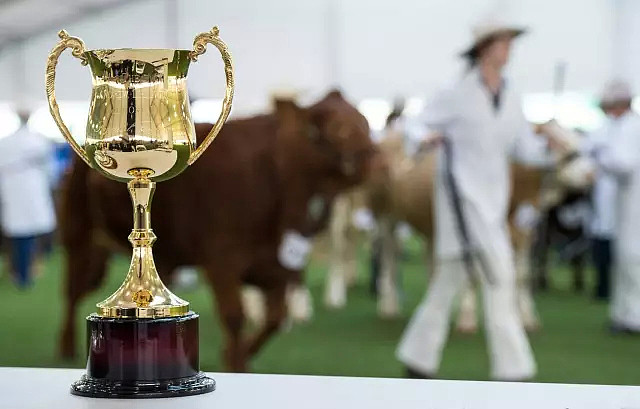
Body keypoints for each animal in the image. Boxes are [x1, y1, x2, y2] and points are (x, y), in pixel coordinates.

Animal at [59, 91, 376, 372]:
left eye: (365, 121)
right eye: (340, 129)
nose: (376, 157)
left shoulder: (278, 265)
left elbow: (274, 318)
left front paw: (242, 355)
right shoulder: (222, 260)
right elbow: (235, 315)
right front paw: (235, 363)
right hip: (80, 237)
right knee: (73, 290)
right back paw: (67, 347)